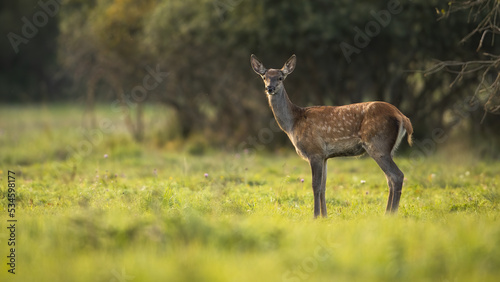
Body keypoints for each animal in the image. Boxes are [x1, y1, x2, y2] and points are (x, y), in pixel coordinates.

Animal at [250, 54, 414, 218]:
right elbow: (323, 186)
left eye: (280, 77)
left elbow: (315, 185)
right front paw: (325, 216)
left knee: (396, 176)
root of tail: (402, 117)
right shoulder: (325, 156)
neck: (293, 123)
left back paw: (390, 214)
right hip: (388, 149)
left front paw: (315, 216)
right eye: (264, 77)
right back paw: (388, 213)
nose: (269, 88)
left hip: (378, 144)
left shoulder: (314, 151)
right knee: (390, 178)